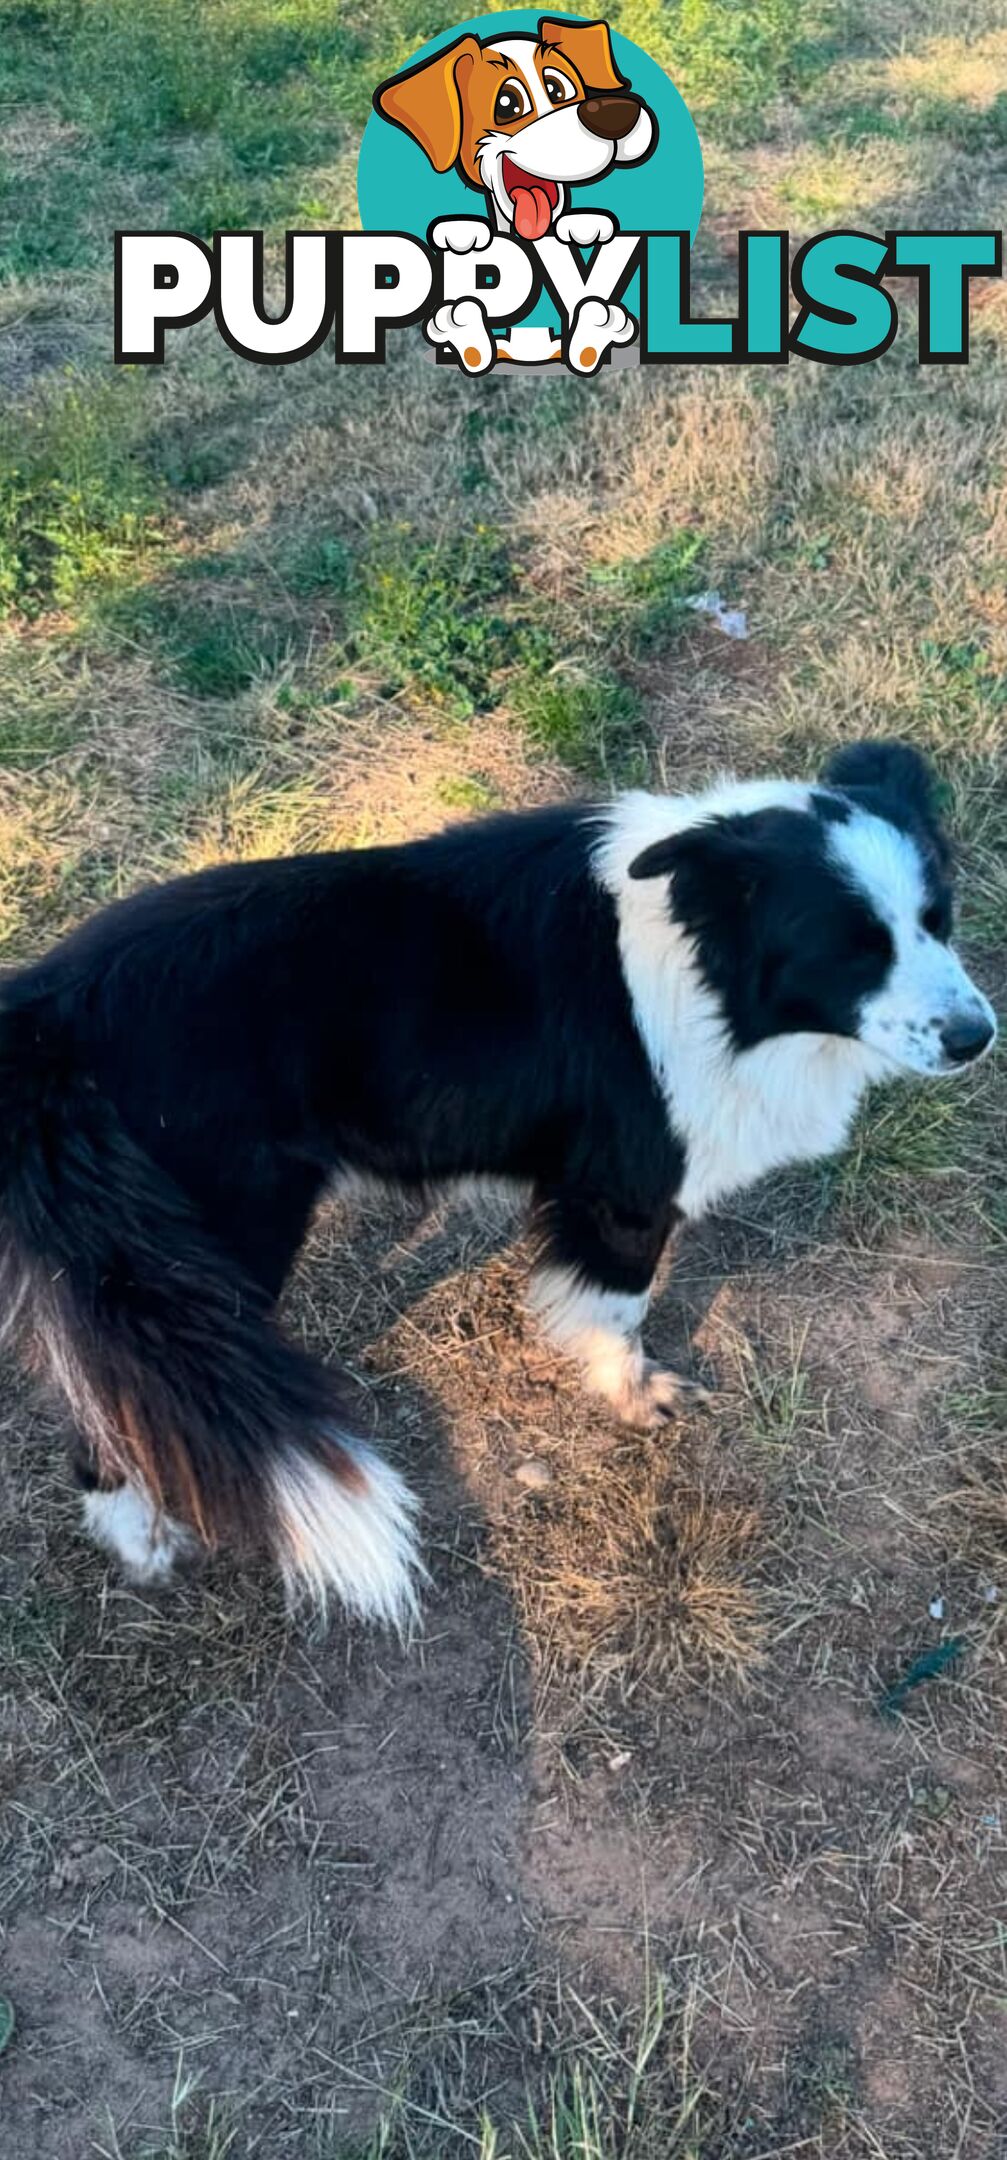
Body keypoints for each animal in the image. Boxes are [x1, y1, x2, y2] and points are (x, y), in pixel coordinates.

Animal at [0, 743, 989, 1624]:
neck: (706, 965)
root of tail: (44, 1015)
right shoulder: (621, 1190)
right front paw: (634, 1397)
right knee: (120, 1407)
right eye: (852, 949)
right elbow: (618, 1311)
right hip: (197, 1259)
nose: (976, 1038)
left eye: (937, 920)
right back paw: (143, 1543)